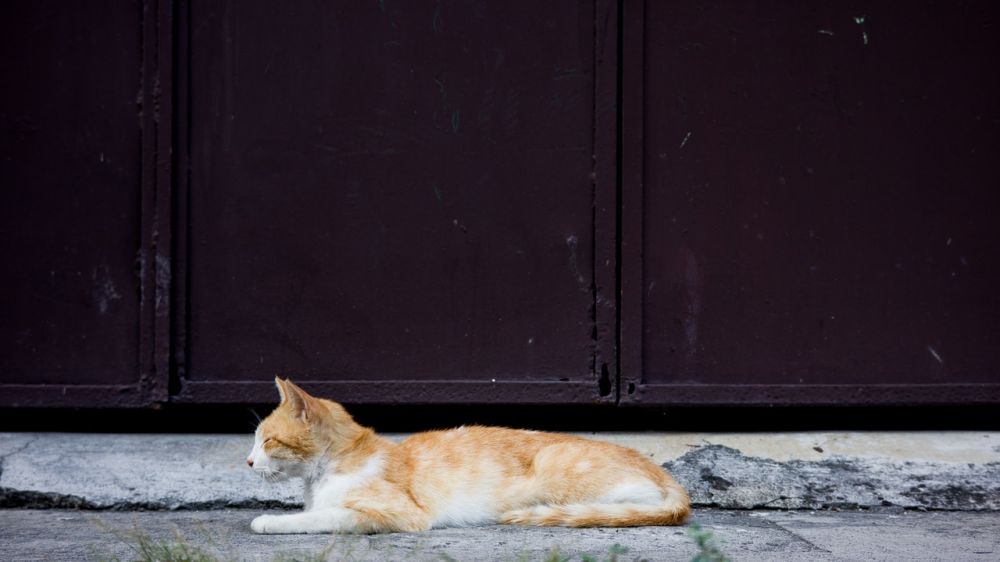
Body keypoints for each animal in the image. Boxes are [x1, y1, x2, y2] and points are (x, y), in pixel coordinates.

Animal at [246, 374, 692, 532]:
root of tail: (672, 481)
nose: (247, 461)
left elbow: (323, 517)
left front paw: (269, 521)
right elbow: (317, 512)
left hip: (558, 470)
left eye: (266, 441)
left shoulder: (398, 513)